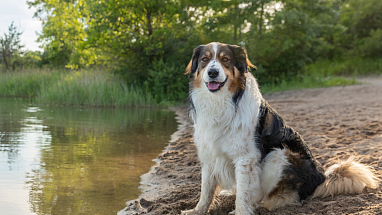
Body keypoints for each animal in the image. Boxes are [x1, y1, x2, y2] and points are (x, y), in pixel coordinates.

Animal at [182, 41, 380, 214]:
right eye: (204, 59)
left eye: (225, 59)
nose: (213, 72)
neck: (220, 102)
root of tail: (321, 178)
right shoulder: (209, 153)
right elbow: (206, 189)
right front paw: (197, 211)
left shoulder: (246, 157)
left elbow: (244, 194)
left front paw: (241, 211)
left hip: (278, 155)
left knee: (278, 197)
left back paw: (261, 204)